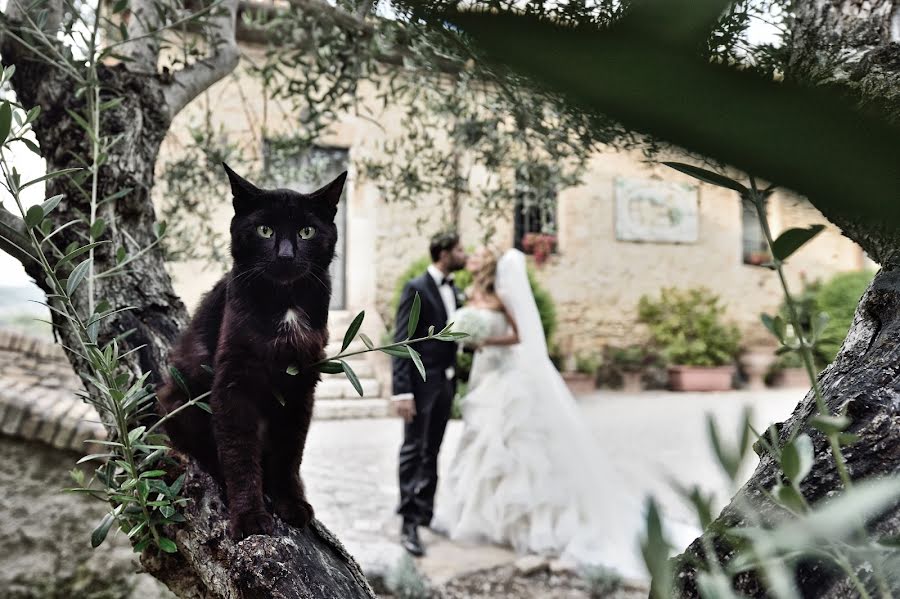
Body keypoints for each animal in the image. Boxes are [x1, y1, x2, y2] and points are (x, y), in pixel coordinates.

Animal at [156, 163, 342, 540]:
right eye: (264, 230)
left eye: (306, 231)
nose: (285, 254)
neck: (285, 304)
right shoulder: (233, 383)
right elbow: (239, 453)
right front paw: (250, 517)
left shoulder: (301, 387)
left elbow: (290, 451)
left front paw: (291, 503)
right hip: (180, 397)